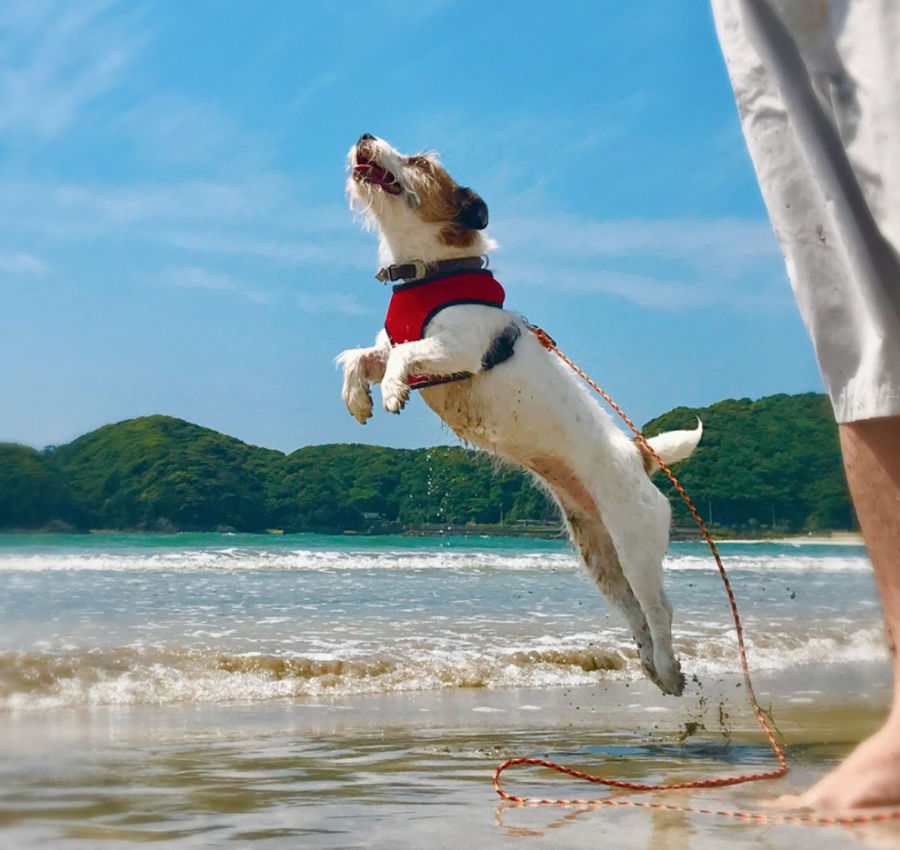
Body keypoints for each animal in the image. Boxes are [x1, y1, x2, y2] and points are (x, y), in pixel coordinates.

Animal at [338, 131, 704, 688]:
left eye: (420, 162)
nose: (363, 135)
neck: (428, 272)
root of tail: (638, 455)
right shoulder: (392, 344)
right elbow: (362, 355)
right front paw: (357, 395)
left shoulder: (459, 350)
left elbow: (402, 357)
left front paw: (394, 391)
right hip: (597, 553)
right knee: (633, 611)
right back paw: (653, 667)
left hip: (635, 543)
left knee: (659, 608)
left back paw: (669, 667)